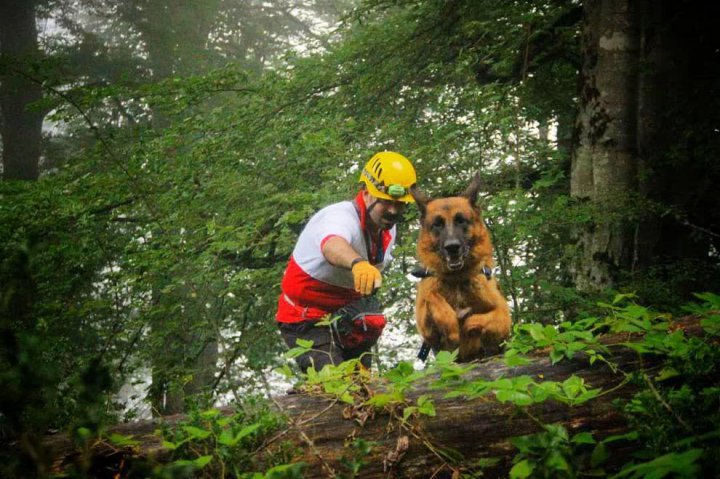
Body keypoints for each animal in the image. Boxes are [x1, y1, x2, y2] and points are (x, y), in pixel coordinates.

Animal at [410, 174, 512, 362]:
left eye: (461, 220)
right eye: (437, 224)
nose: (452, 247)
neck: (456, 278)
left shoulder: (503, 317)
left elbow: (478, 319)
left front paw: (467, 325)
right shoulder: (426, 329)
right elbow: (432, 296)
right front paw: (452, 328)